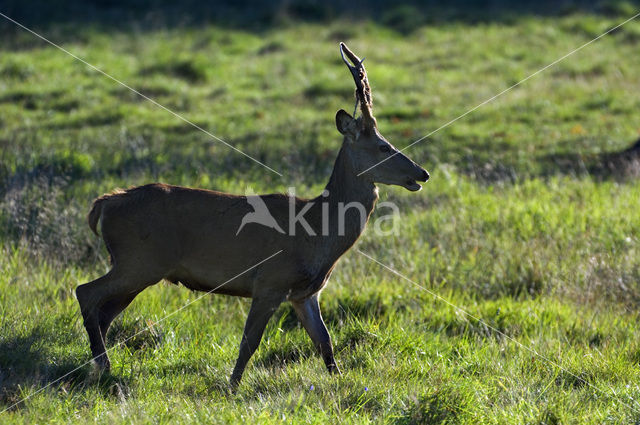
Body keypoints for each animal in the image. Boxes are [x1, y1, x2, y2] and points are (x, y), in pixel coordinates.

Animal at [76, 42, 430, 388]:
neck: (318, 231)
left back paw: (102, 365)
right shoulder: (270, 281)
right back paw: (104, 366)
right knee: (86, 293)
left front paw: (340, 381)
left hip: (140, 267)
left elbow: (325, 341)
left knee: (104, 312)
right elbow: (250, 341)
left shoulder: (305, 293)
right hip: (139, 260)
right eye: (384, 147)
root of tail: (103, 204)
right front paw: (232, 386)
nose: (422, 173)